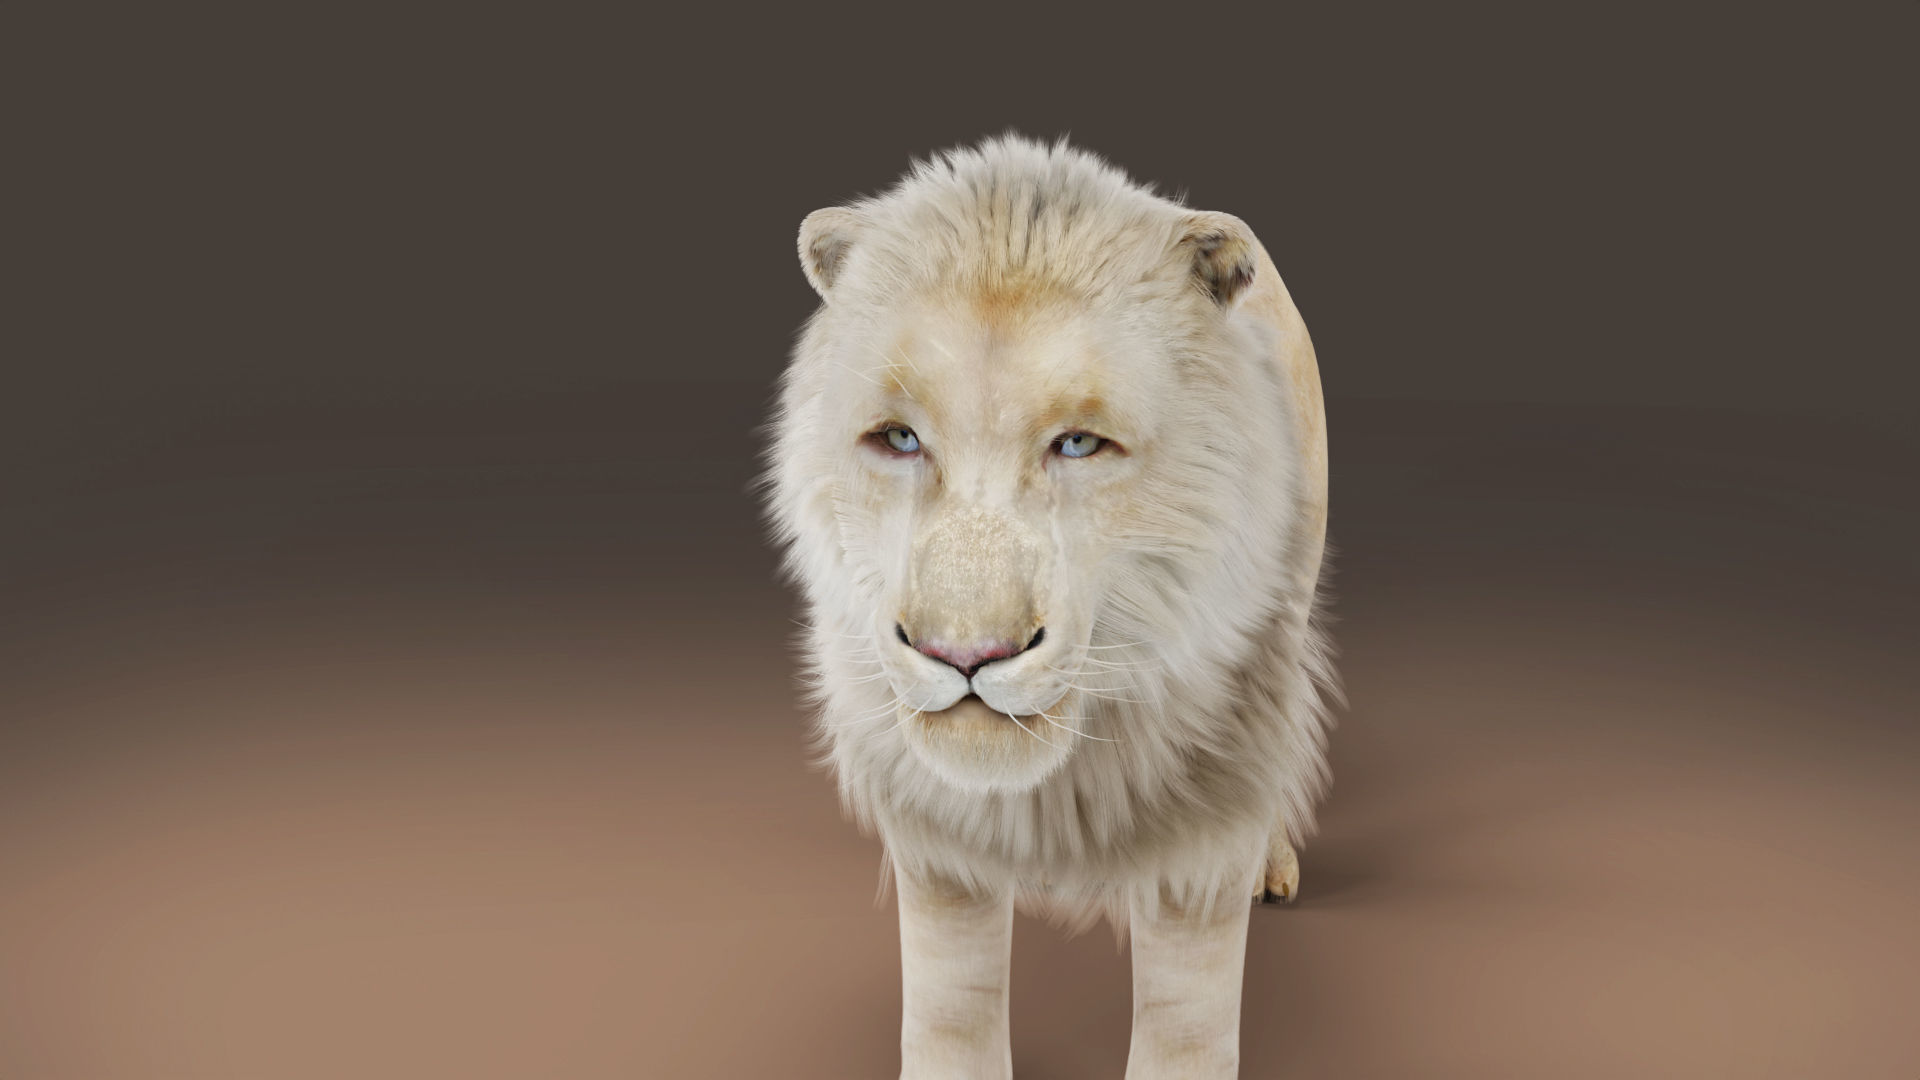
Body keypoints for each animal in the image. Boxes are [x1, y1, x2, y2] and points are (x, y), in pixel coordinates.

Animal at [761, 133, 1338, 1078]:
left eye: (1078, 444)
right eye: (899, 439)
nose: (964, 656)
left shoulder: (1207, 828)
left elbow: (1188, 1020)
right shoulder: (935, 851)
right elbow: (951, 1005)